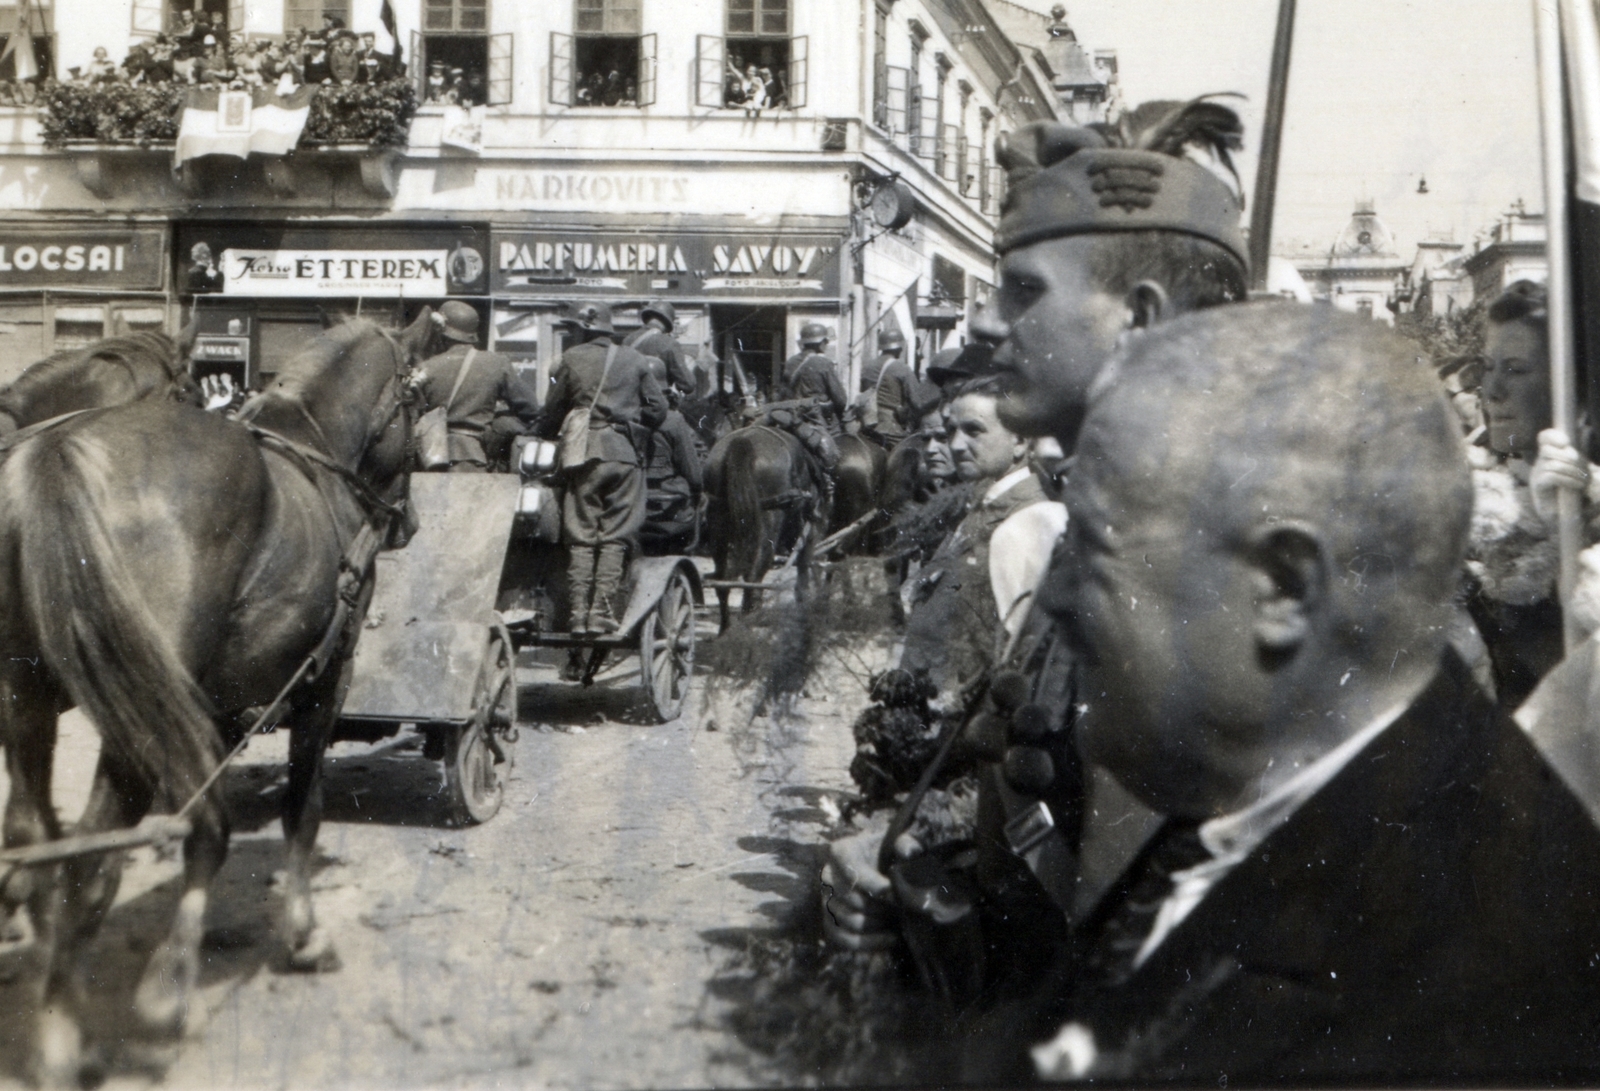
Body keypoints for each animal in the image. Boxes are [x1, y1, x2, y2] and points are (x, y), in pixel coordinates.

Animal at [704, 425, 825, 630]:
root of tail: (742, 442)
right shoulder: (806, 529)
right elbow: (803, 567)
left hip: (719, 525)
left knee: (723, 581)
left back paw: (726, 629)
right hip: (769, 522)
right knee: (754, 578)